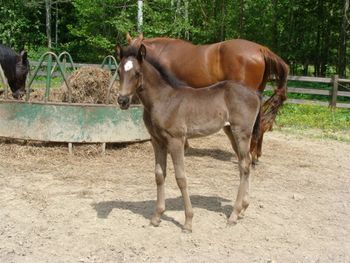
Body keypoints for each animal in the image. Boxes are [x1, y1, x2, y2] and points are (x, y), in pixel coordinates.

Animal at [117, 45, 260, 233]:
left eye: (137, 73)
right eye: (118, 71)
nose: (122, 100)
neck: (163, 99)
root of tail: (255, 94)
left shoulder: (176, 140)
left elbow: (181, 178)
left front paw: (188, 222)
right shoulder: (157, 141)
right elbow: (159, 175)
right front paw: (156, 217)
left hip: (241, 132)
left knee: (244, 165)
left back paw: (234, 215)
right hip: (230, 131)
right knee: (246, 162)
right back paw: (243, 208)